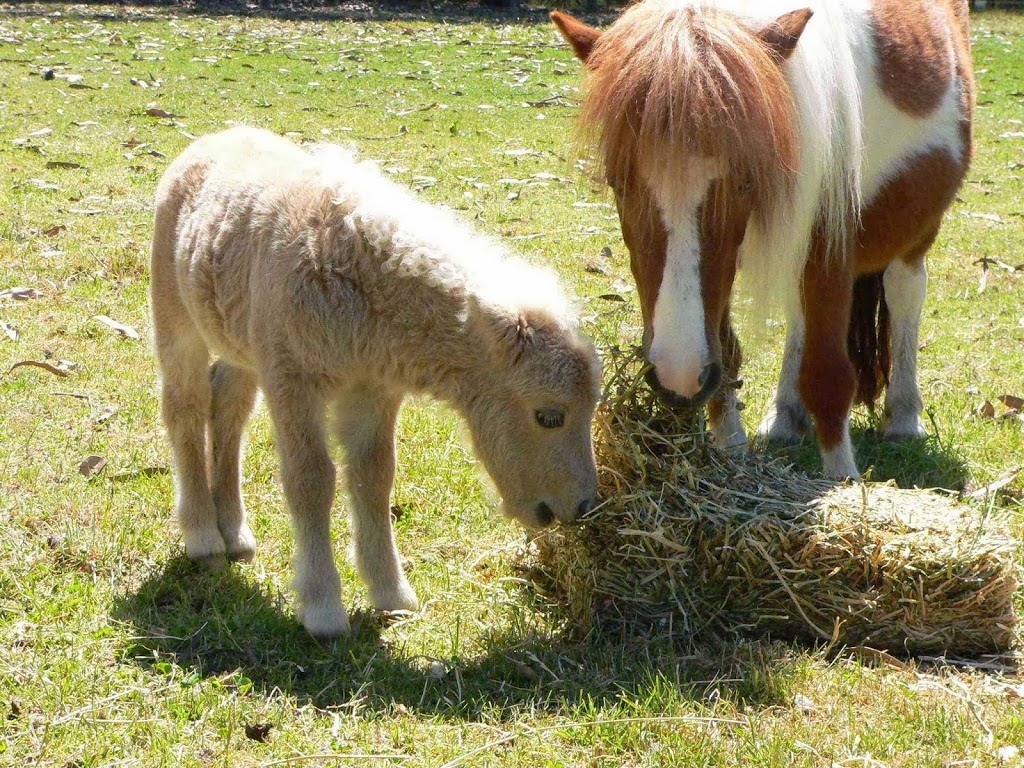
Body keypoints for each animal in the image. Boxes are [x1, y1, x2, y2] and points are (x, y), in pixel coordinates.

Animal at [150, 129, 598, 638]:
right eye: (549, 416)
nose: (583, 505)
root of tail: (215, 138)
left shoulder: (373, 389)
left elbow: (374, 476)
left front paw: (392, 596)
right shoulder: (293, 378)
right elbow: (310, 478)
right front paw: (323, 610)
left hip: (238, 338)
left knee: (228, 405)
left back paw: (236, 536)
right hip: (174, 310)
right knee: (184, 405)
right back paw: (204, 537)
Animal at [557, 0, 970, 479]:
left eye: (743, 183)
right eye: (618, 182)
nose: (677, 374)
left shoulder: (831, 238)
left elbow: (828, 376)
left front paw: (845, 482)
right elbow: (729, 358)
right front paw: (731, 451)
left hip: (916, 231)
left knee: (905, 292)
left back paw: (904, 416)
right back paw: (786, 417)